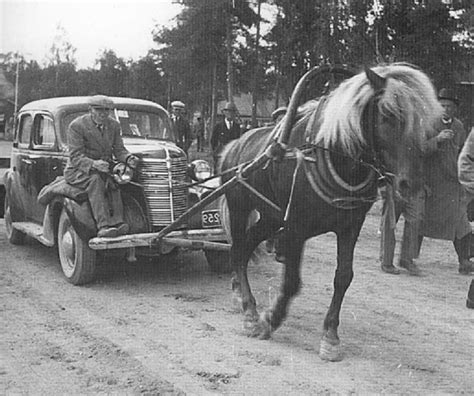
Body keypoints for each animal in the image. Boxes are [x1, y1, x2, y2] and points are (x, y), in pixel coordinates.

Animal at [218, 62, 444, 362]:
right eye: (387, 114)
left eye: (425, 122)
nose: (411, 184)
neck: (333, 154)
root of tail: (233, 147)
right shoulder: (295, 227)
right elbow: (292, 281)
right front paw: (270, 320)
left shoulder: (350, 226)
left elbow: (343, 277)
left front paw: (331, 336)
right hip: (240, 206)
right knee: (237, 249)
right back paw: (250, 310)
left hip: (270, 217)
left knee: (245, 248)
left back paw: (241, 299)